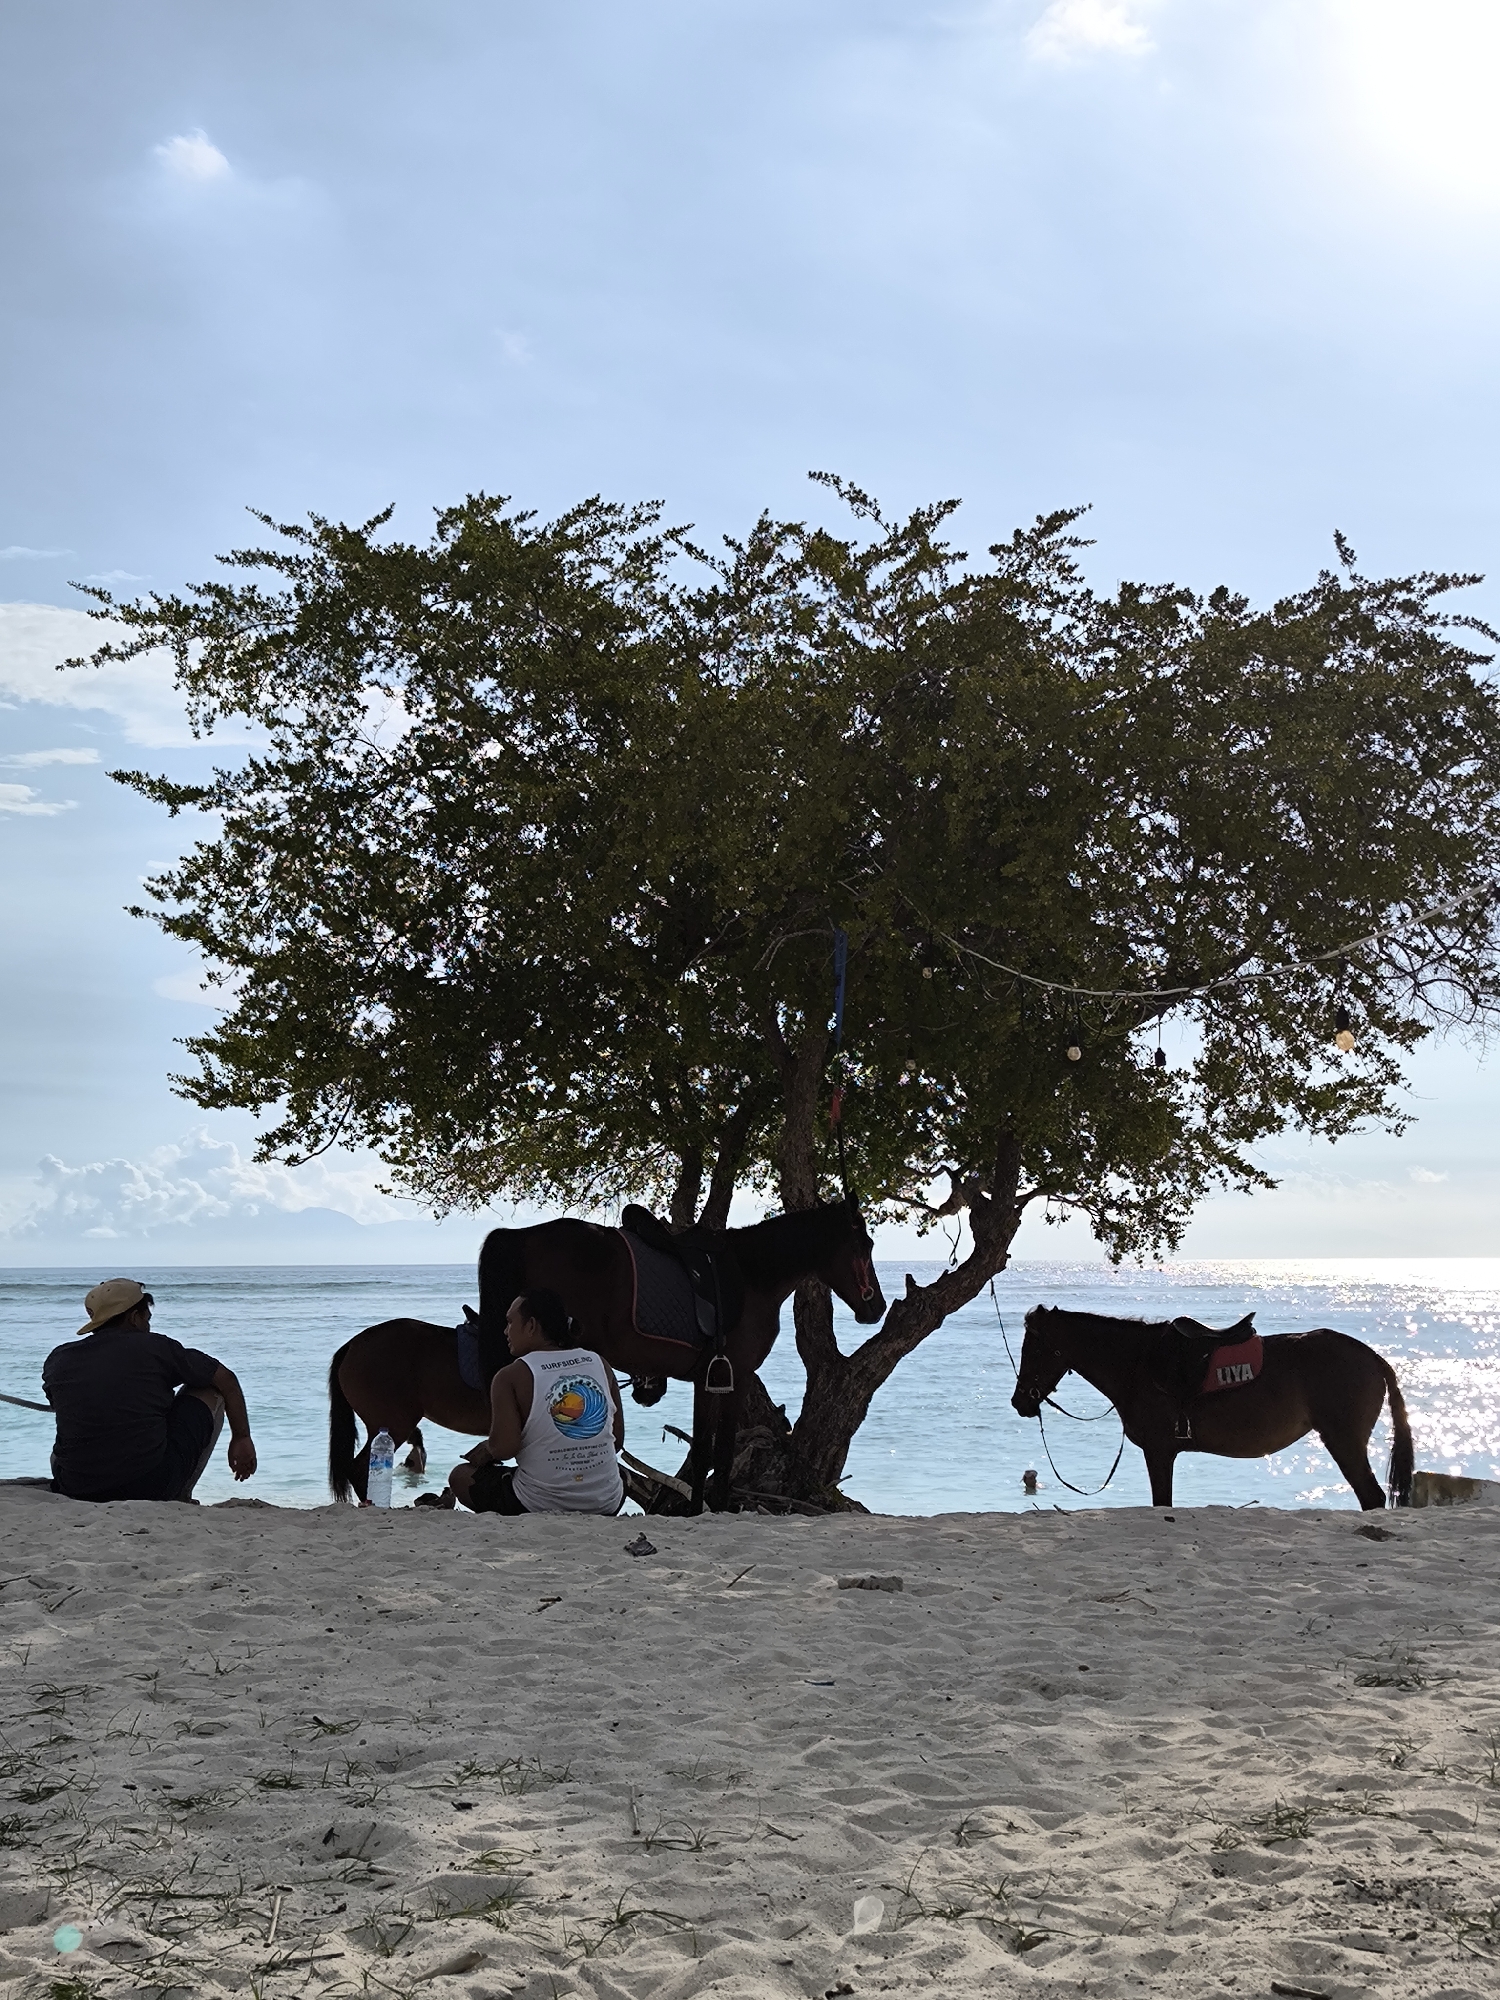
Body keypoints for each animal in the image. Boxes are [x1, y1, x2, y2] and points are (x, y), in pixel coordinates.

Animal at [328, 1197, 885, 1510]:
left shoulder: (711, 1377)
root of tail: (352, 1347)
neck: (749, 1275)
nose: (875, 1305)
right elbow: (717, 1451)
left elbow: (707, 1452)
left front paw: (700, 1509)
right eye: (865, 1245)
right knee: (359, 1469)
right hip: (393, 1422)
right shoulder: (733, 1374)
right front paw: (715, 1508)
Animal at [1010, 1305, 1413, 1510]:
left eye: (1033, 1347)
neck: (1139, 1363)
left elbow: (1162, 1504)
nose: (1019, 1401)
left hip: (1344, 1441)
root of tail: (1373, 1357)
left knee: (1372, 1497)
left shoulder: (1159, 1452)